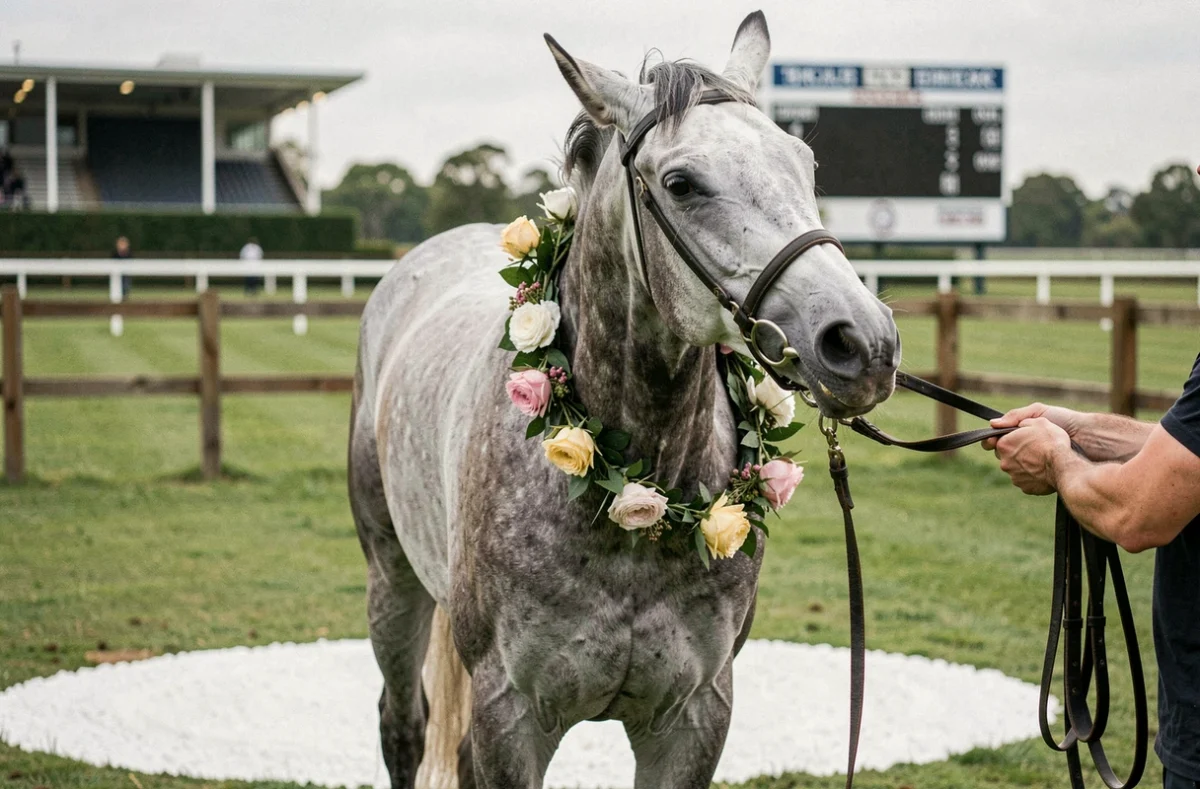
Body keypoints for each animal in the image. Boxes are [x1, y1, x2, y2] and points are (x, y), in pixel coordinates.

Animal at [349, 11, 900, 788]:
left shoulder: (694, 716)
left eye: (804, 163)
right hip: (392, 581)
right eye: (682, 182)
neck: (630, 492)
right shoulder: (511, 719)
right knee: (403, 725)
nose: (862, 342)